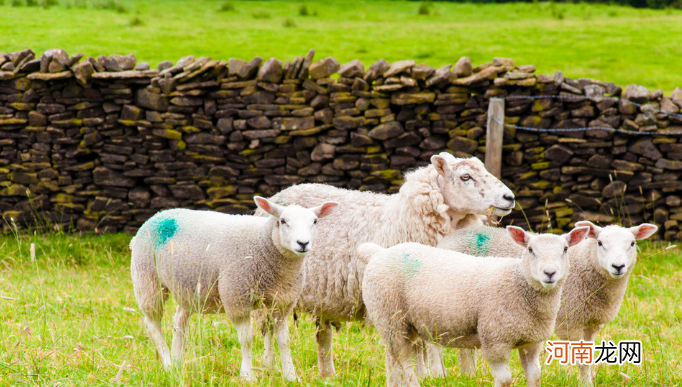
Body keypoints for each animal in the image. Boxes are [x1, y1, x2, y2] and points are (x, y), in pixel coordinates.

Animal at [128, 197, 338, 382]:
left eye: (315, 221)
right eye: (283, 221)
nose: (303, 243)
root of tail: (161, 214)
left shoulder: (282, 302)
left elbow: (284, 340)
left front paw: (291, 376)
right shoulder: (237, 297)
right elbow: (247, 340)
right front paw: (248, 375)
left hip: (187, 286)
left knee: (179, 321)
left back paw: (178, 361)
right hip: (147, 279)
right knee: (153, 324)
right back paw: (168, 363)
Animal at [255, 153, 516, 378]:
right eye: (465, 177)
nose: (510, 198)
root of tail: (279, 194)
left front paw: (460, 374)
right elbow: (422, 344)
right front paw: (430, 374)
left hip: (320, 297)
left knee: (322, 334)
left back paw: (327, 374)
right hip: (270, 287)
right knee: (268, 327)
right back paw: (270, 366)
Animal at [358, 226, 588, 387]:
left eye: (565, 249)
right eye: (530, 249)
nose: (550, 273)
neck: (518, 283)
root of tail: (378, 254)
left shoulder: (531, 342)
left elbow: (535, 376)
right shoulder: (495, 340)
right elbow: (505, 379)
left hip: (395, 323)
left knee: (393, 360)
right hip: (391, 316)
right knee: (405, 363)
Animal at [438, 220, 656, 386]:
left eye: (632, 243)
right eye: (600, 243)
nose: (618, 266)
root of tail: (447, 239)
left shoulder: (590, 324)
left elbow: (587, 358)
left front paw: (588, 382)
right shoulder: (571, 321)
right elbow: (580, 360)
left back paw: (469, 375)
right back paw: (437, 375)